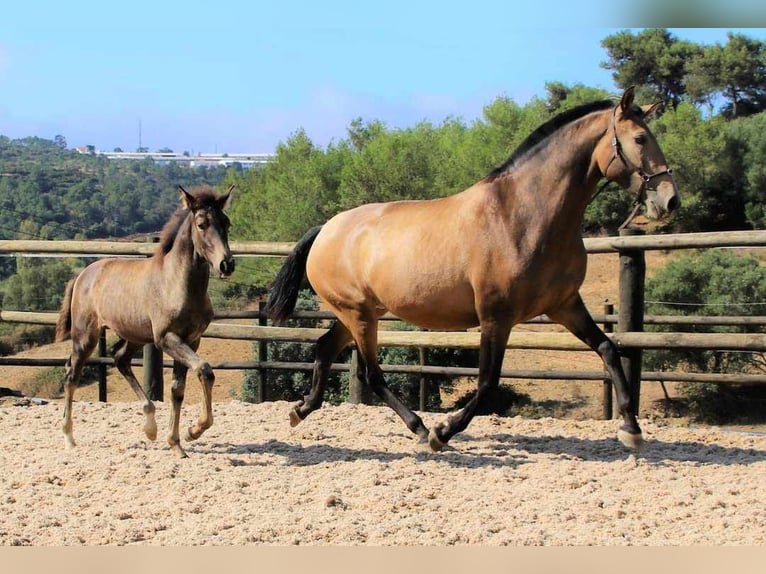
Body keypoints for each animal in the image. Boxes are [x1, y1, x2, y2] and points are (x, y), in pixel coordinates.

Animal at [268, 86, 680, 454]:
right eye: (640, 138)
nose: (669, 200)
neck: (523, 216)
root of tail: (327, 228)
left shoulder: (564, 305)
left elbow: (609, 349)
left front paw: (631, 429)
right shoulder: (496, 316)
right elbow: (487, 384)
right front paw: (443, 432)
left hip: (361, 312)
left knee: (325, 347)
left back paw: (301, 410)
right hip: (359, 314)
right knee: (371, 373)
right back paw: (420, 429)